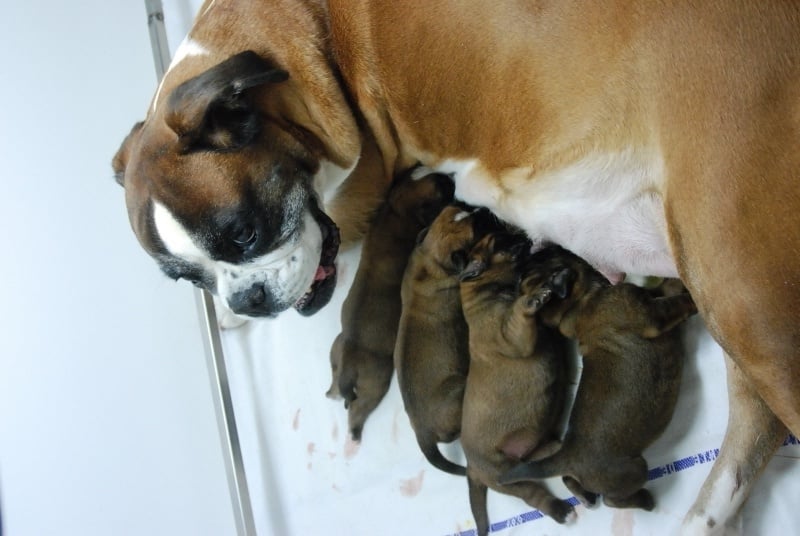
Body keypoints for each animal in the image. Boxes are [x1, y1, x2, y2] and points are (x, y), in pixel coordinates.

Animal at [328, 168, 454, 440]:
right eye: (440, 192)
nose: (450, 178)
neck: (397, 209)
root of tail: (348, 369)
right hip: (375, 383)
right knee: (359, 408)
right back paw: (354, 433)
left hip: (336, 354)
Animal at [456, 232, 576, 532]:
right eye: (497, 241)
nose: (521, 234)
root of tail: (473, 467)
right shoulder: (513, 337)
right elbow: (522, 310)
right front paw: (535, 297)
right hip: (505, 475)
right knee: (533, 495)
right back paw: (561, 511)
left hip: (534, 454)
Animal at [504, 247, 696, 510]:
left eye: (535, 261)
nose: (527, 251)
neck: (580, 302)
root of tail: (566, 456)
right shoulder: (649, 314)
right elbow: (675, 302)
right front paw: (693, 298)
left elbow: (666, 288)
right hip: (633, 469)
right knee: (612, 500)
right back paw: (644, 500)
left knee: (572, 480)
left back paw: (585, 497)